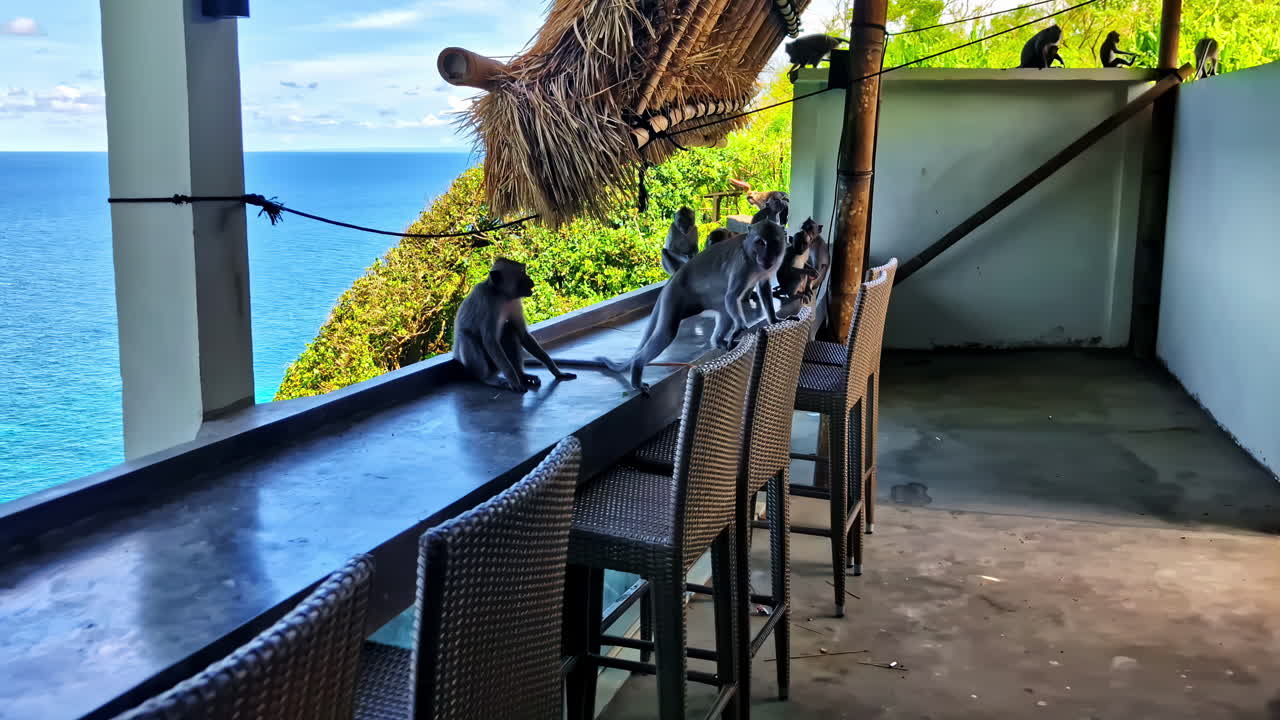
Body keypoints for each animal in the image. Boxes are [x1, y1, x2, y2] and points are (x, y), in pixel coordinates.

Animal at [452, 258, 576, 393]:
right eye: (521, 273)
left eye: (524, 271)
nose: (530, 281)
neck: (501, 295)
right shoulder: (487, 301)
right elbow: (490, 340)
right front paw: (514, 381)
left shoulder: (515, 301)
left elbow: (523, 334)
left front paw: (557, 371)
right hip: (482, 365)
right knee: (466, 336)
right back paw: (487, 378)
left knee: (509, 330)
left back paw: (522, 375)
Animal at [590, 220, 787, 391]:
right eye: (760, 242)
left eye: (774, 242)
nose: (767, 256)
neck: (753, 258)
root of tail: (672, 279)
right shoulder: (742, 266)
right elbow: (732, 295)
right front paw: (740, 327)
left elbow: (763, 288)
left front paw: (774, 318)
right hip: (674, 297)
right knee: (667, 333)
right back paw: (637, 369)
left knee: (725, 313)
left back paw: (719, 341)